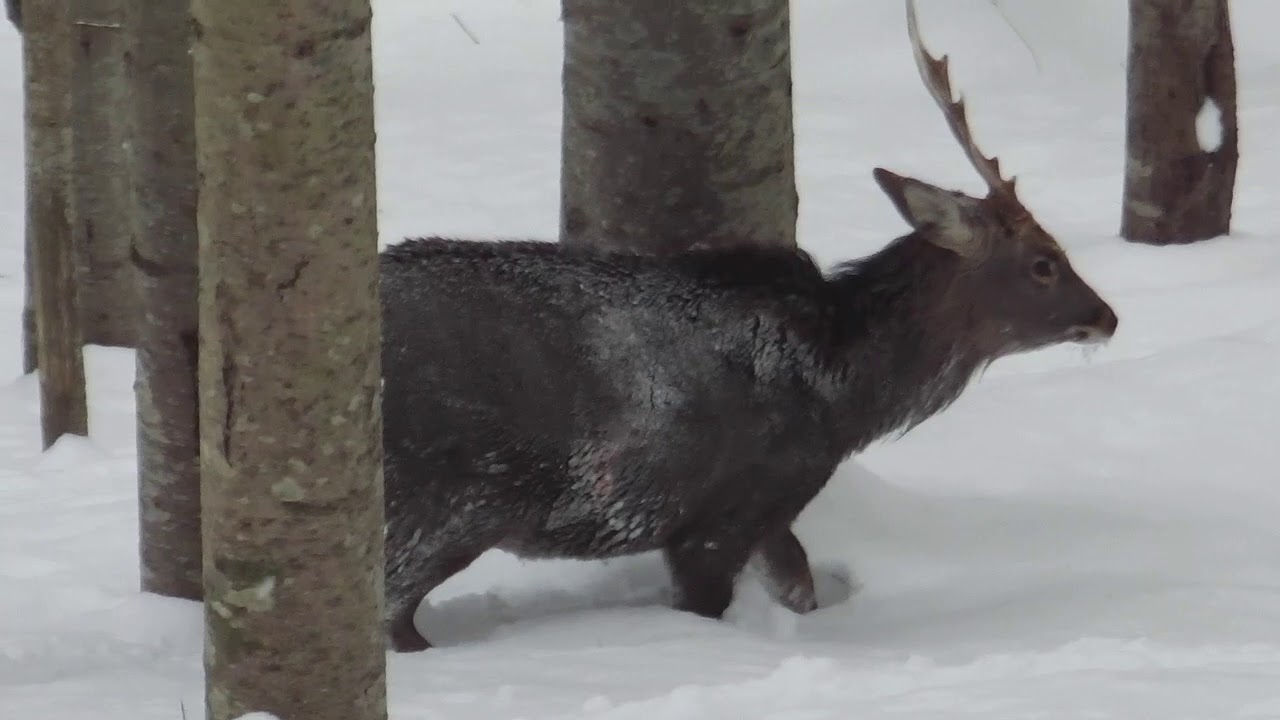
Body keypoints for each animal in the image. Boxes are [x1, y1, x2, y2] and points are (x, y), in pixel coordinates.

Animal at [377, 0, 1118, 651]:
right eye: (1044, 263)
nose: (1107, 317)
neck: (842, 388)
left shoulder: (767, 514)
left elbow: (802, 589)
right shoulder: (720, 509)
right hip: (440, 499)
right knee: (395, 618)